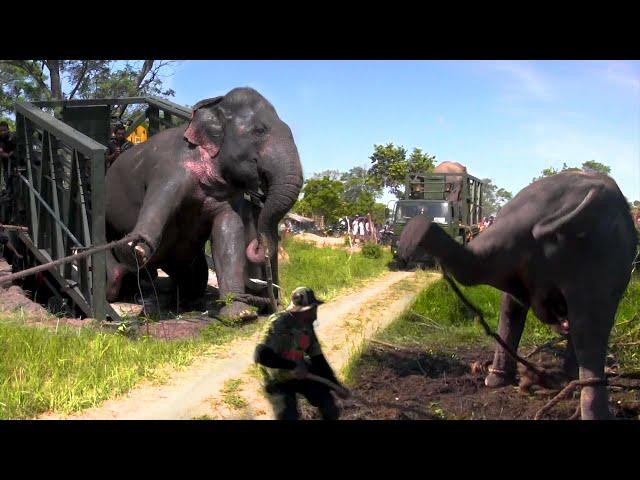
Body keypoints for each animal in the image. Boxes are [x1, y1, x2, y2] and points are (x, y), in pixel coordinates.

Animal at [104, 88, 304, 320]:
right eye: (259, 130)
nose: (257, 245)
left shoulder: (224, 194)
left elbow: (228, 229)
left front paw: (240, 313)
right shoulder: (169, 170)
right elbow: (157, 205)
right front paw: (134, 248)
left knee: (195, 274)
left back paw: (182, 302)